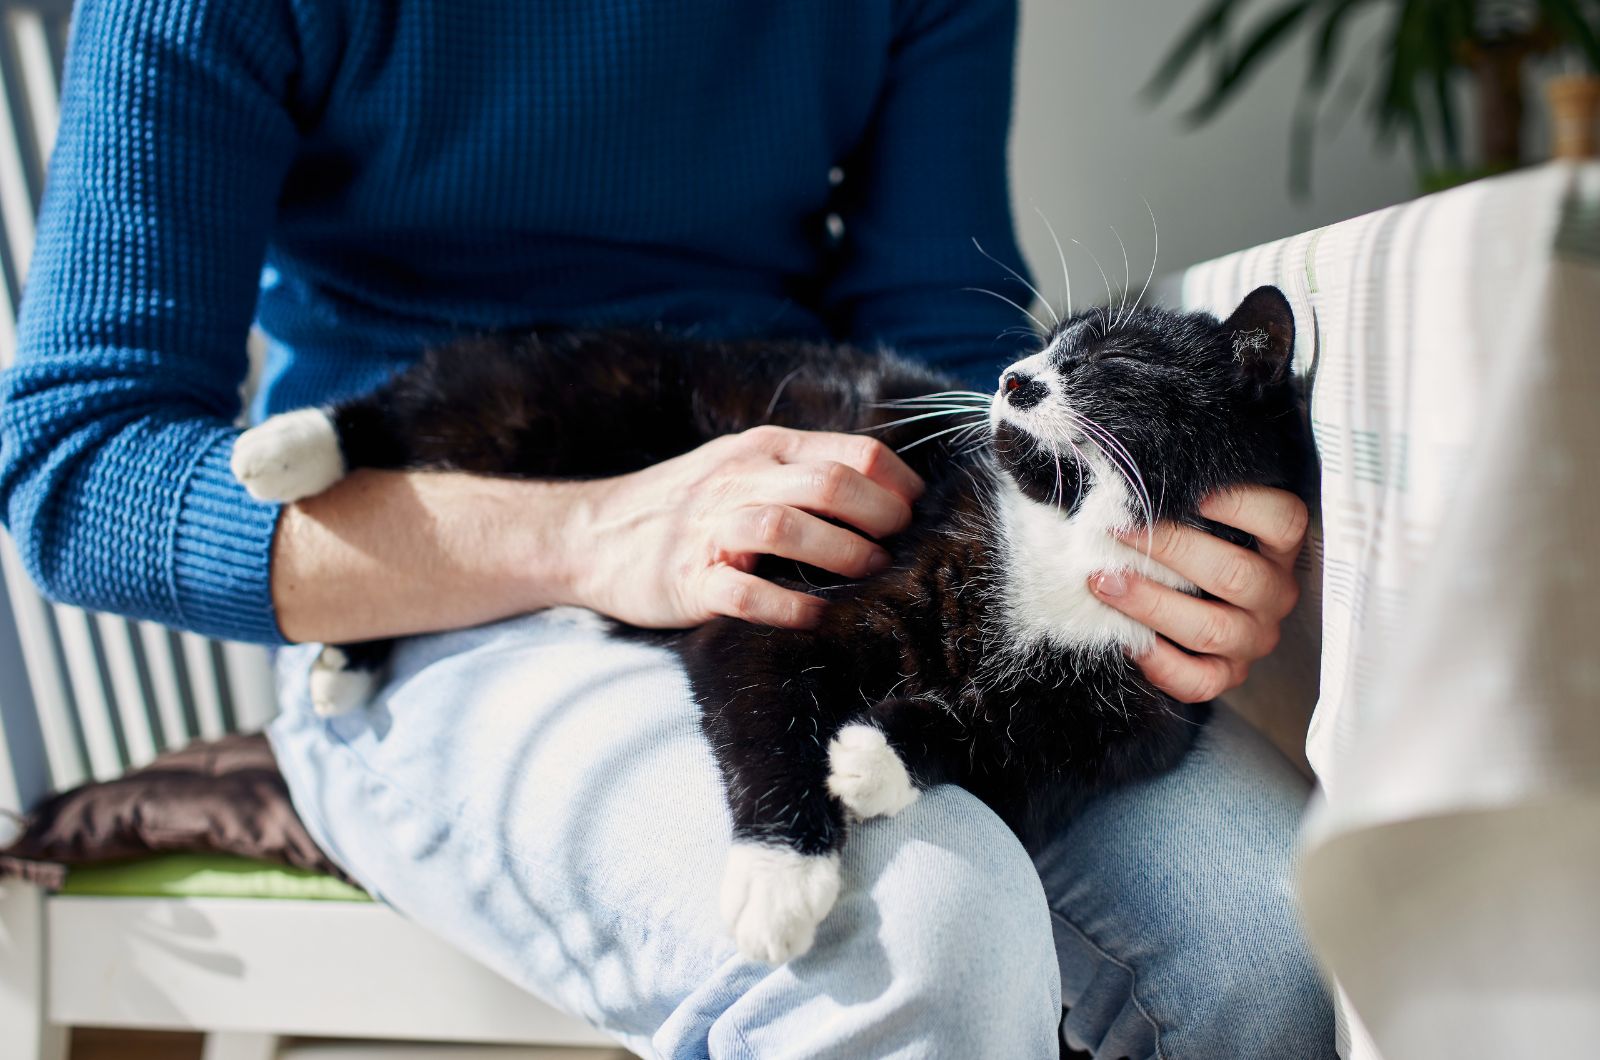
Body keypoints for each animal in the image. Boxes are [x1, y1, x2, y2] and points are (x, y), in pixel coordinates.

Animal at [240, 286, 1312, 967]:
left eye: (1109, 360)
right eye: (1047, 347)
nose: (1013, 379)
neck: (1062, 557)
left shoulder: (1134, 724)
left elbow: (1017, 762)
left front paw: (879, 758)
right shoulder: (773, 604)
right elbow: (766, 712)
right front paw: (782, 878)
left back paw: (344, 660)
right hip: (557, 394)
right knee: (432, 410)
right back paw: (288, 445)